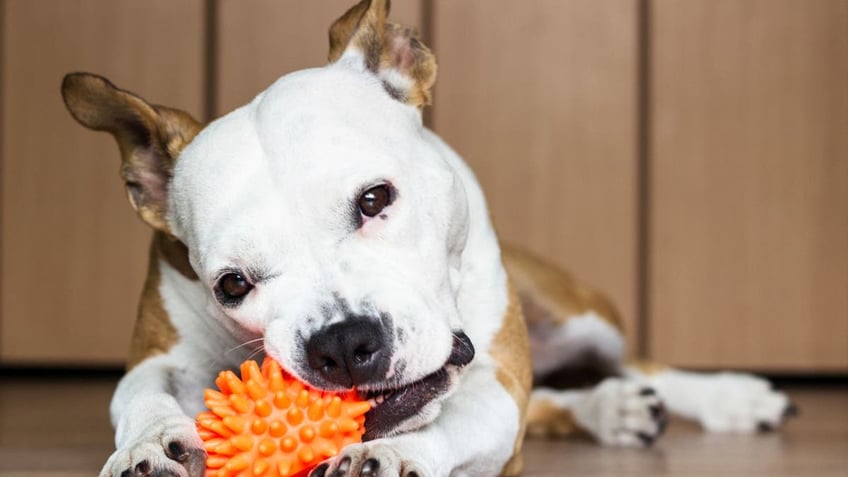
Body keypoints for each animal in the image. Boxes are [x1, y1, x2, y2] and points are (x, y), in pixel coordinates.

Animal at [59, 0, 796, 476]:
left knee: (637, 363)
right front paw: (149, 445)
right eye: (232, 284)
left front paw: (391, 454)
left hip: (581, 315)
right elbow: (139, 393)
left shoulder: (496, 382)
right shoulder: (159, 352)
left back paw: (730, 397)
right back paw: (609, 409)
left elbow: (459, 421)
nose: (343, 344)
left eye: (375, 199)